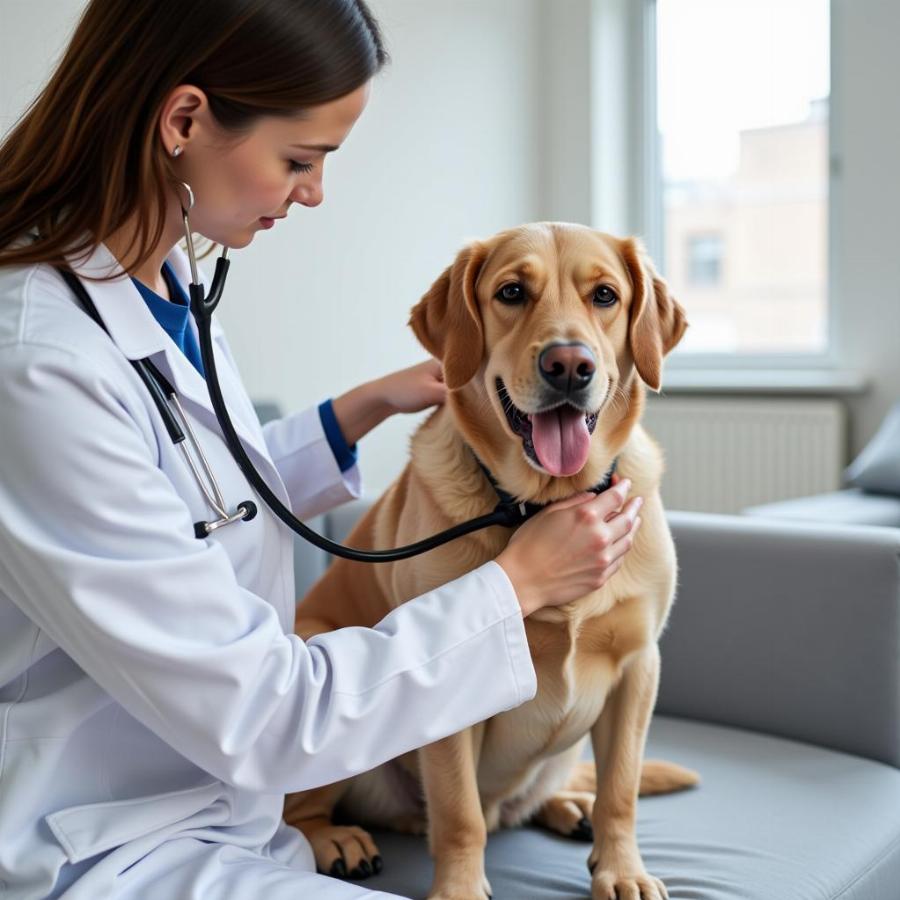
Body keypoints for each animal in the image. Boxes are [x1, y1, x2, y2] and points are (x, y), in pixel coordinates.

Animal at [286, 220, 696, 900]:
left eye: (605, 296)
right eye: (511, 292)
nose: (568, 364)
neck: (543, 504)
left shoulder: (640, 667)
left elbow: (621, 790)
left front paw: (622, 869)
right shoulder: (450, 684)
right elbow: (459, 816)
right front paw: (458, 887)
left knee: (545, 797)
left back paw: (567, 807)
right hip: (315, 645)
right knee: (304, 812)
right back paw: (336, 840)